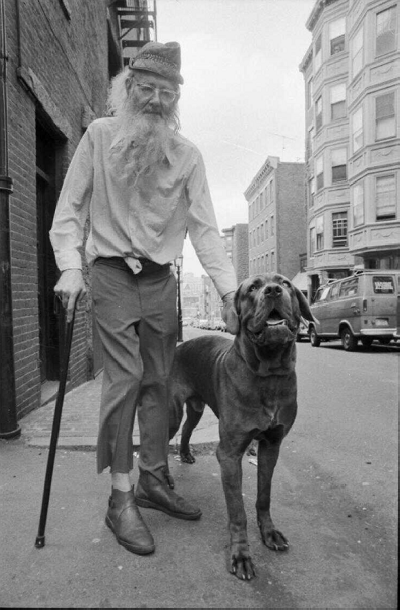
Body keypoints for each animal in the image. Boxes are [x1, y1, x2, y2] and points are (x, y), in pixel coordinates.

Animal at [168, 272, 316, 580]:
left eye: (285, 283)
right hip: (170, 411)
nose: (273, 291)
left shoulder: (271, 445)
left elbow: (264, 496)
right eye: (252, 288)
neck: (269, 374)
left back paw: (186, 454)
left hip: (197, 407)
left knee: (187, 429)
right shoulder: (230, 454)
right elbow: (238, 513)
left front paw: (269, 533)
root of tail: (178, 347)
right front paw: (241, 555)